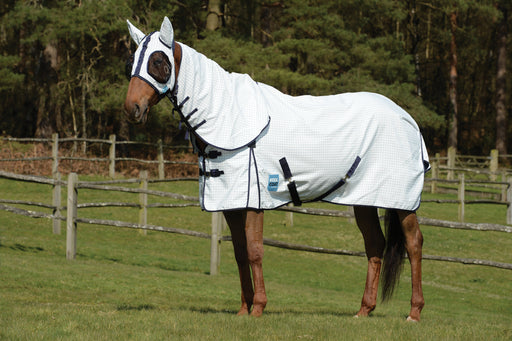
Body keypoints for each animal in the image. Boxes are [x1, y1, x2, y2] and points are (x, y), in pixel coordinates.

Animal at [123, 17, 428, 320]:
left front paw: (258, 307)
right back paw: (364, 310)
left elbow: (255, 250)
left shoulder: (254, 201)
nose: (132, 108)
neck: (228, 115)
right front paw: (243, 309)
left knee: (414, 243)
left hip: (401, 202)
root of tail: (408, 119)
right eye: (132, 61)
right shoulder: (231, 203)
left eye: (158, 61)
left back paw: (414, 312)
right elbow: (240, 251)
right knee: (375, 244)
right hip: (363, 200)